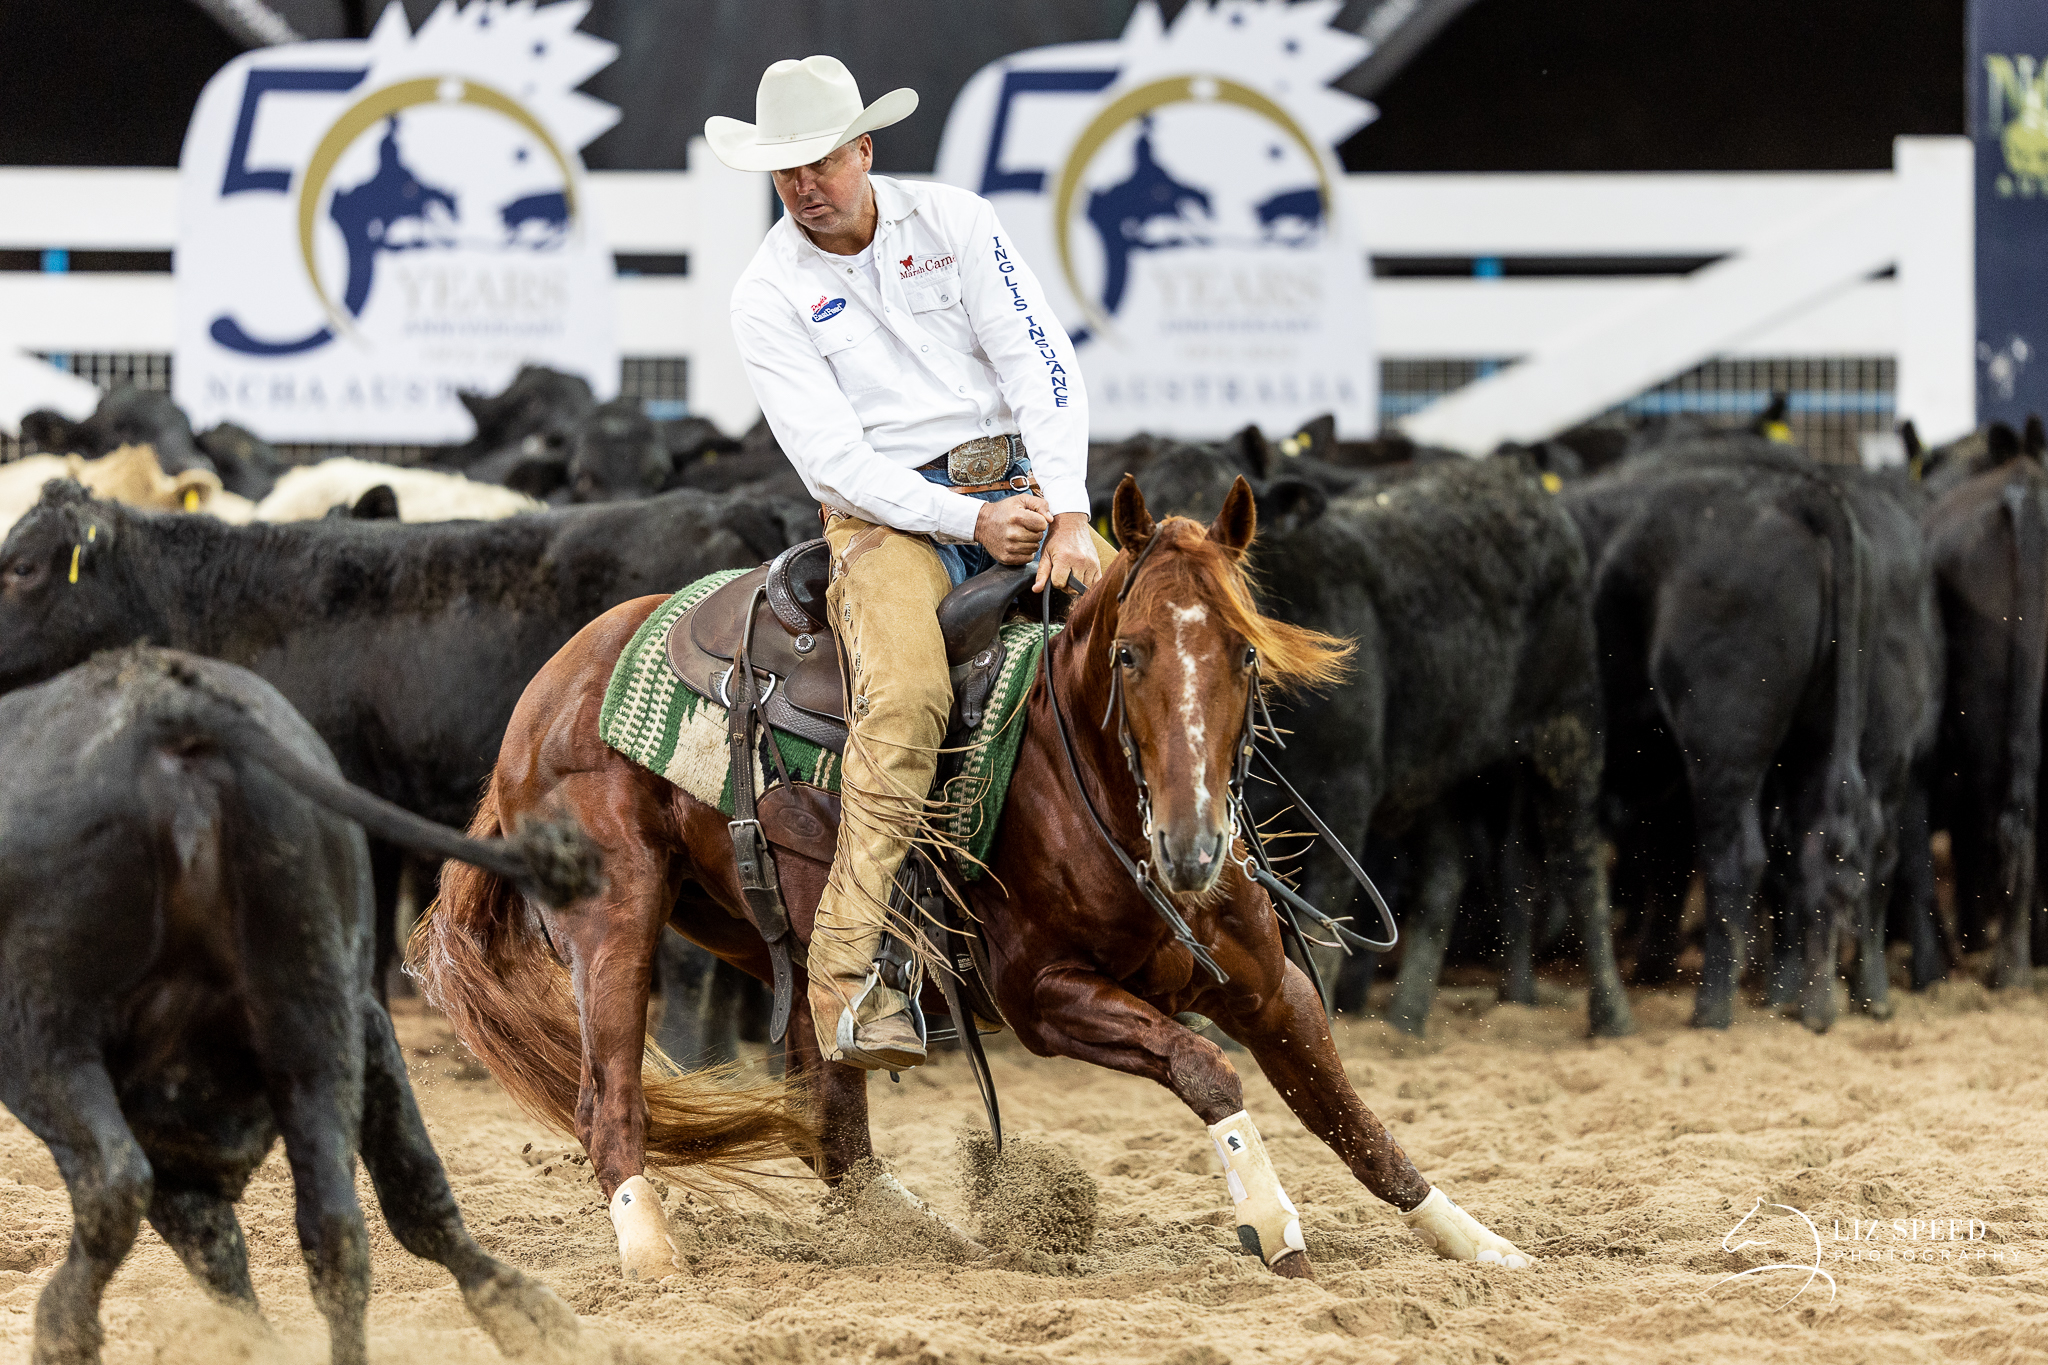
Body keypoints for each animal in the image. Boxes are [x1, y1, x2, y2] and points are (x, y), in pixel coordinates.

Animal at [0, 646, 592, 1365]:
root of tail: (164, 708)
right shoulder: (360, 1021)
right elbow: (405, 1186)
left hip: (41, 1029)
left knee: (114, 1181)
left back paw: (63, 1328)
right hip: (310, 1004)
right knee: (336, 1225)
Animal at [412, 475, 1537, 1281]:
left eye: (1245, 657)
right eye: (1128, 654)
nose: (1192, 849)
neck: (1083, 782)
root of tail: (554, 682)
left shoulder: (1269, 981)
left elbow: (1352, 1117)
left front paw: (1479, 1242)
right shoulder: (1042, 995)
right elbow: (1207, 1068)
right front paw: (1270, 1220)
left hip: (778, 932)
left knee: (828, 1108)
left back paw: (917, 1232)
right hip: (615, 915)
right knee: (607, 1099)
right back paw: (651, 1251)